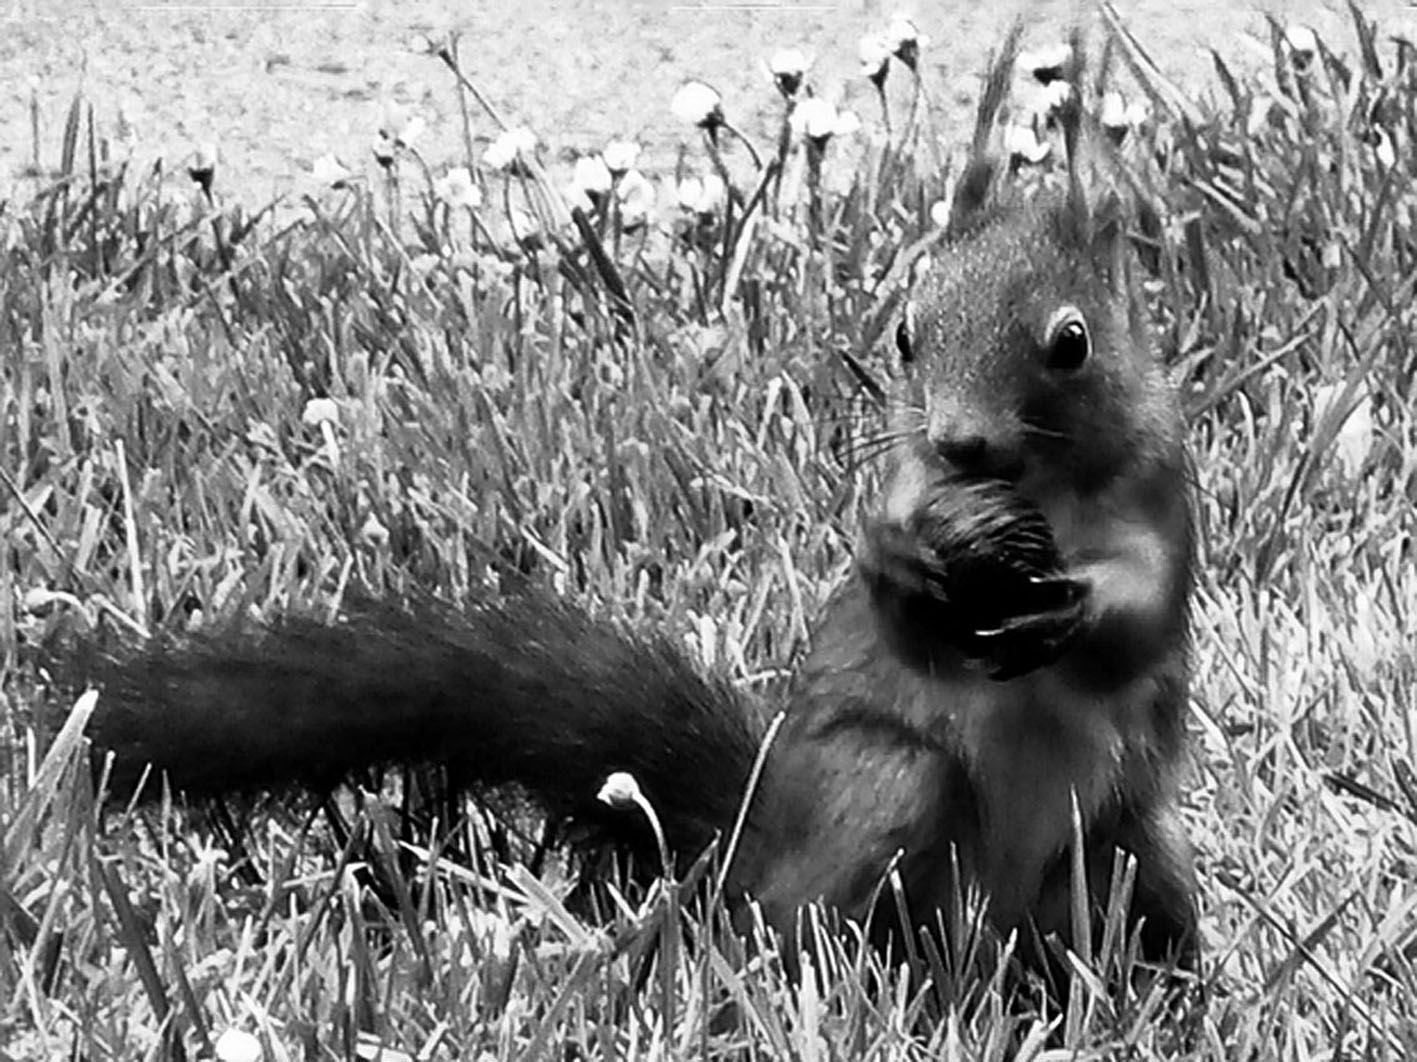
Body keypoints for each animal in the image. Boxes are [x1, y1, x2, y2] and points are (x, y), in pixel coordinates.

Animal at [69, 47, 1195, 975]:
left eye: (1071, 343)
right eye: (906, 334)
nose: (959, 442)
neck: (1035, 488)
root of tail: (754, 841)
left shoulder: (1161, 487)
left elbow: (1148, 610)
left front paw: (1071, 607)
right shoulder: (900, 480)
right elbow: (887, 587)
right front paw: (920, 563)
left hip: (1128, 852)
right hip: (884, 786)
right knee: (802, 919)